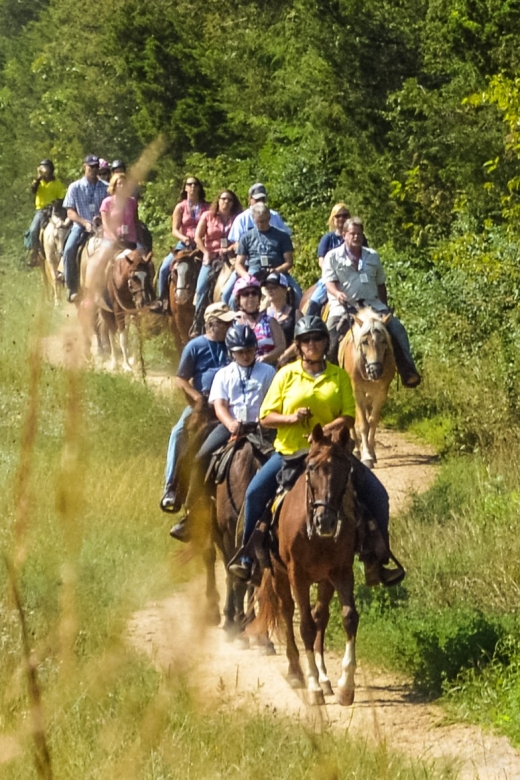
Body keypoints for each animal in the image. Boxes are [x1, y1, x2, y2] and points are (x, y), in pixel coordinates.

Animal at [254, 420, 360, 708]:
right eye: (311, 468)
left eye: (345, 469)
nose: (326, 521)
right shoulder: (297, 574)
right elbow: (305, 627)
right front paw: (312, 687)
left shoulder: (341, 571)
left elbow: (349, 618)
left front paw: (345, 686)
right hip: (280, 574)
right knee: (288, 611)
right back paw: (296, 673)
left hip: (324, 580)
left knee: (320, 614)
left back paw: (325, 678)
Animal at [340, 308, 396, 470]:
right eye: (364, 342)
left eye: (383, 341)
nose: (374, 370)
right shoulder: (356, 392)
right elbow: (363, 424)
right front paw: (366, 456)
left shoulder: (381, 392)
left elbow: (372, 421)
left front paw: (371, 452)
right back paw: (356, 450)